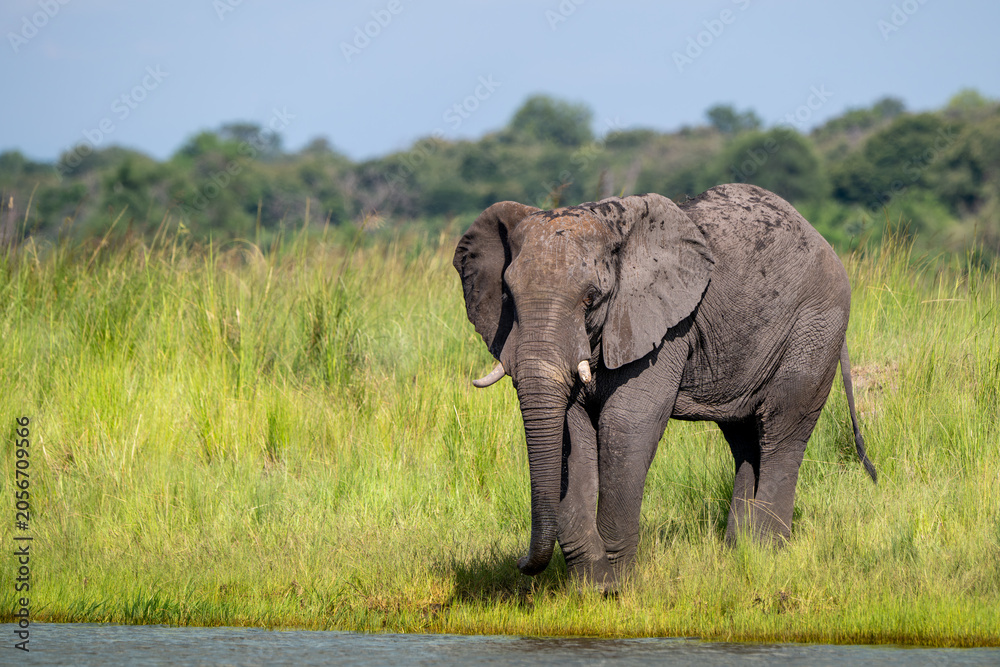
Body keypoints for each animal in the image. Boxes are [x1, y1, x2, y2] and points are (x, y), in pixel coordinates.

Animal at [452, 183, 877, 592]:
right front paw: (591, 589)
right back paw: (738, 554)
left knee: (781, 431)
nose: (519, 563)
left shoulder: (666, 326)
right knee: (745, 440)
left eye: (591, 298)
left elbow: (625, 425)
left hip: (815, 325)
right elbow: (571, 434)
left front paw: (618, 588)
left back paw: (765, 554)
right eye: (508, 296)